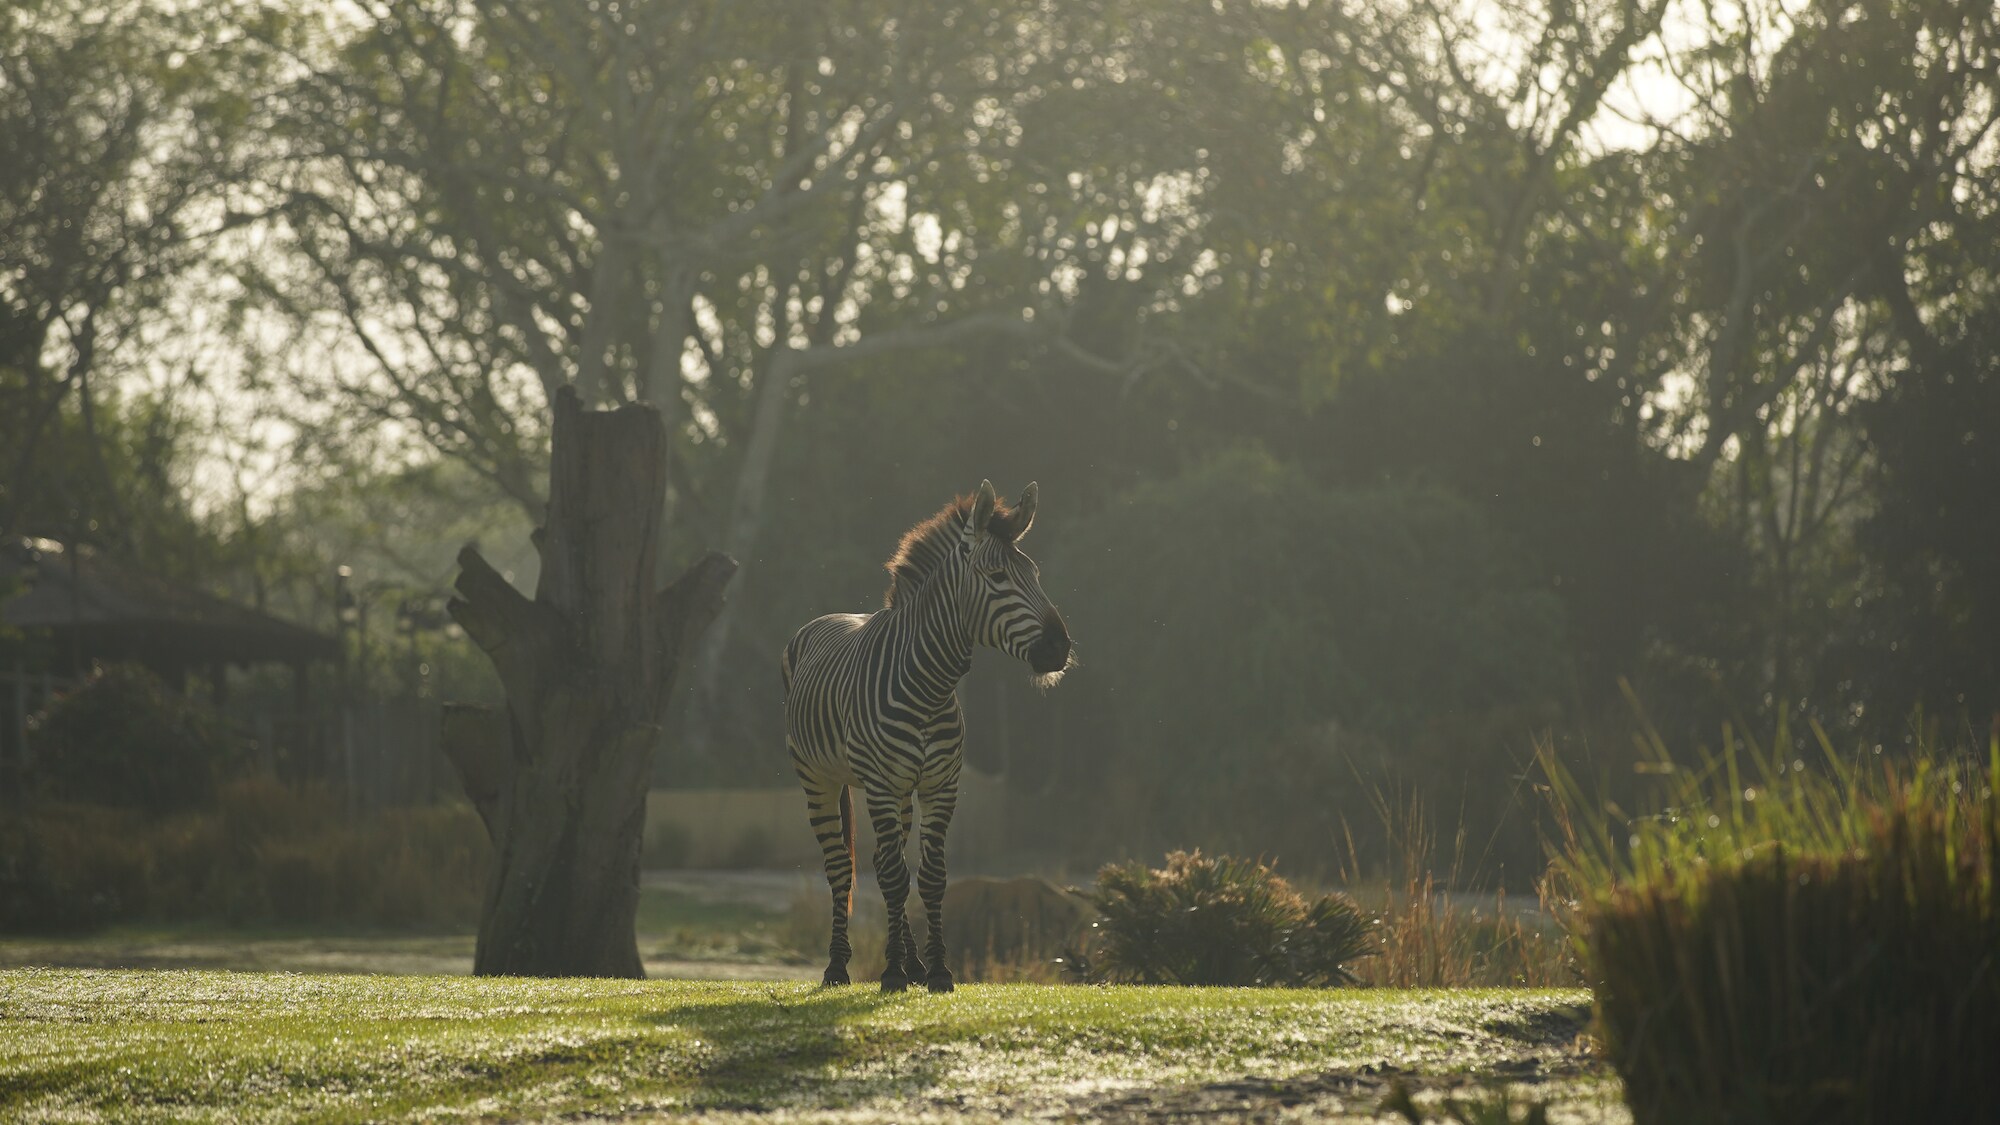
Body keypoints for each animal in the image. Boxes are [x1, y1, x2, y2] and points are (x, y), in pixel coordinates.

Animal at [780, 476, 1072, 984]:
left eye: (1034, 574)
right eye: (997, 576)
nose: (1061, 648)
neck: (929, 685)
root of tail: (821, 621)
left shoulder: (941, 784)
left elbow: (930, 877)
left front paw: (935, 971)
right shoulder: (879, 783)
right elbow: (896, 879)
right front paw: (893, 973)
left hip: (900, 791)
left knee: (884, 861)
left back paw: (908, 960)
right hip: (818, 778)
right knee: (841, 867)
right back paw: (838, 965)